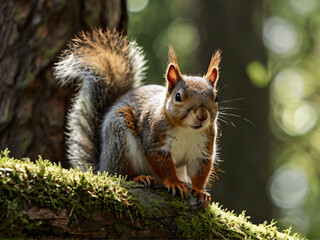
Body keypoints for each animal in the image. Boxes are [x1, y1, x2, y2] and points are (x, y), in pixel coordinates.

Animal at [54, 28, 220, 208]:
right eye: (178, 96)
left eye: (215, 97)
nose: (202, 115)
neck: (187, 130)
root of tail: (103, 166)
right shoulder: (155, 139)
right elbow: (162, 164)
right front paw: (175, 183)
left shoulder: (203, 148)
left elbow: (200, 171)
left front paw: (199, 191)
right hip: (120, 137)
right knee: (121, 173)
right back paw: (139, 178)